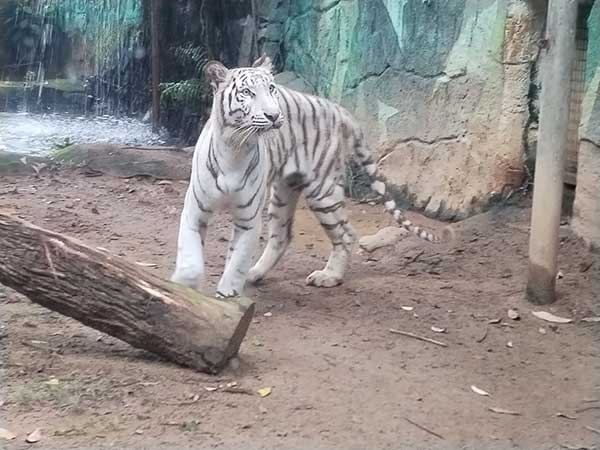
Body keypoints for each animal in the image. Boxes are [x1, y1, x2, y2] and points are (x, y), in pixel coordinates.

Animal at [171, 54, 448, 298]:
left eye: (271, 89)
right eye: (247, 92)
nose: (274, 115)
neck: (235, 147)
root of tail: (339, 109)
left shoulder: (248, 218)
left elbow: (237, 259)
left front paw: (228, 292)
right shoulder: (196, 209)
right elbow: (190, 255)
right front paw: (183, 286)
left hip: (322, 192)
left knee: (346, 234)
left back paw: (329, 276)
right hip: (283, 193)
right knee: (283, 236)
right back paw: (255, 273)